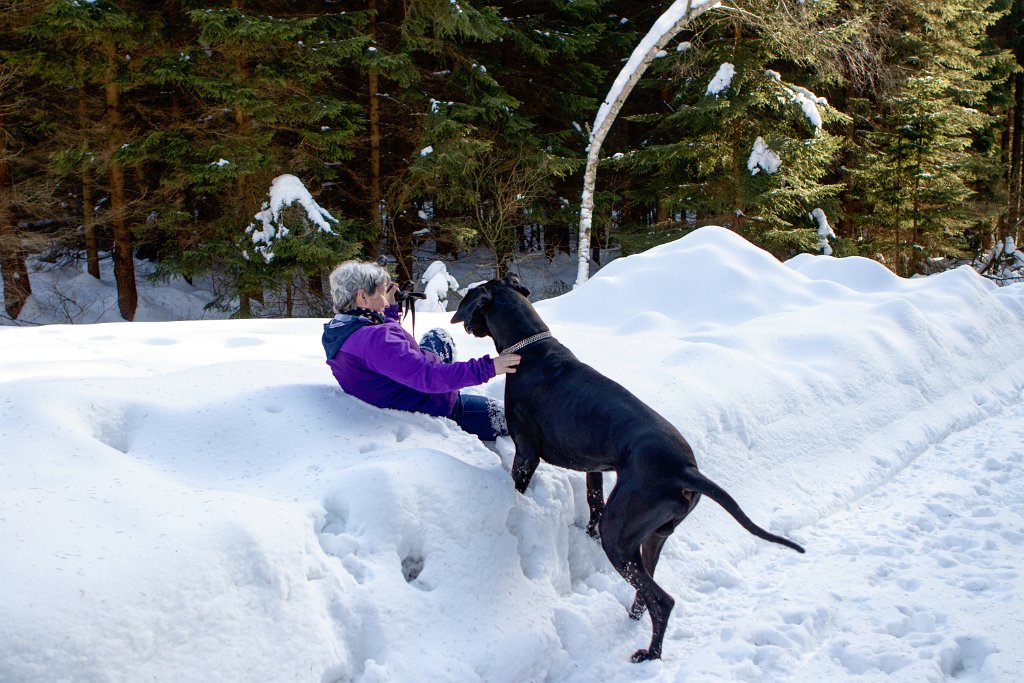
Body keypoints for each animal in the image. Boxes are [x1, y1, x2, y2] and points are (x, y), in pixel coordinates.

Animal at [452, 270, 802, 663]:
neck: (530, 349)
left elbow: (519, 484)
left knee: (662, 600)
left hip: (620, 535)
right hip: (652, 536)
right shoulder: (594, 464)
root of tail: (686, 470)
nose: (467, 325)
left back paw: (650, 654)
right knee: (646, 589)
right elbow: (593, 500)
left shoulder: (526, 452)